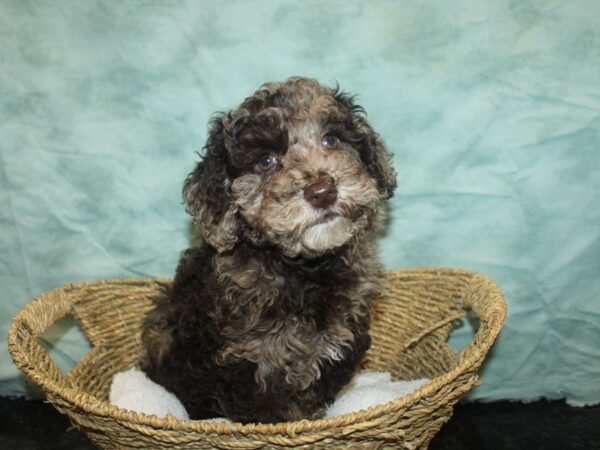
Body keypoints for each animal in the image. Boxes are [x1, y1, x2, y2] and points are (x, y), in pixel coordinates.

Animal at [139, 75, 394, 424]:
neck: (305, 269)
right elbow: (275, 413)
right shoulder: (251, 362)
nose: (322, 191)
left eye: (331, 140)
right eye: (266, 161)